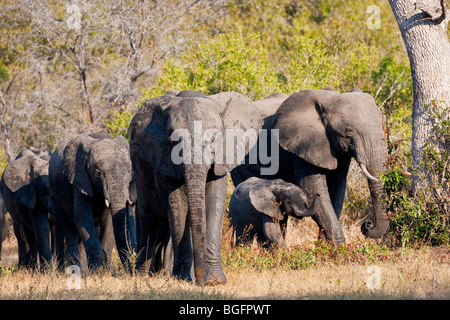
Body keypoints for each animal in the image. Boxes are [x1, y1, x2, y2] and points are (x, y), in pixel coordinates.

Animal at [48, 131, 135, 268]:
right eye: (98, 173)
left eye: (128, 171)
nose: (130, 269)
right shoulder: (79, 179)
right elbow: (82, 217)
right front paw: (98, 269)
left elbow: (109, 222)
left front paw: (107, 270)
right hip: (57, 195)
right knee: (69, 227)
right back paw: (76, 268)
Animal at [128, 89, 264, 284]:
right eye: (174, 140)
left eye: (214, 139)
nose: (202, 282)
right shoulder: (164, 159)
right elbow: (179, 206)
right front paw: (183, 279)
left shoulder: (220, 159)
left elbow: (214, 202)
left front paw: (215, 280)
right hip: (139, 169)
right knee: (149, 219)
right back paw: (142, 276)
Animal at [230, 89, 388, 244]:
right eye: (348, 131)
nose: (367, 225)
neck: (330, 99)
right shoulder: (302, 145)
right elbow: (313, 190)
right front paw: (335, 248)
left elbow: (337, 190)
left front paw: (324, 247)